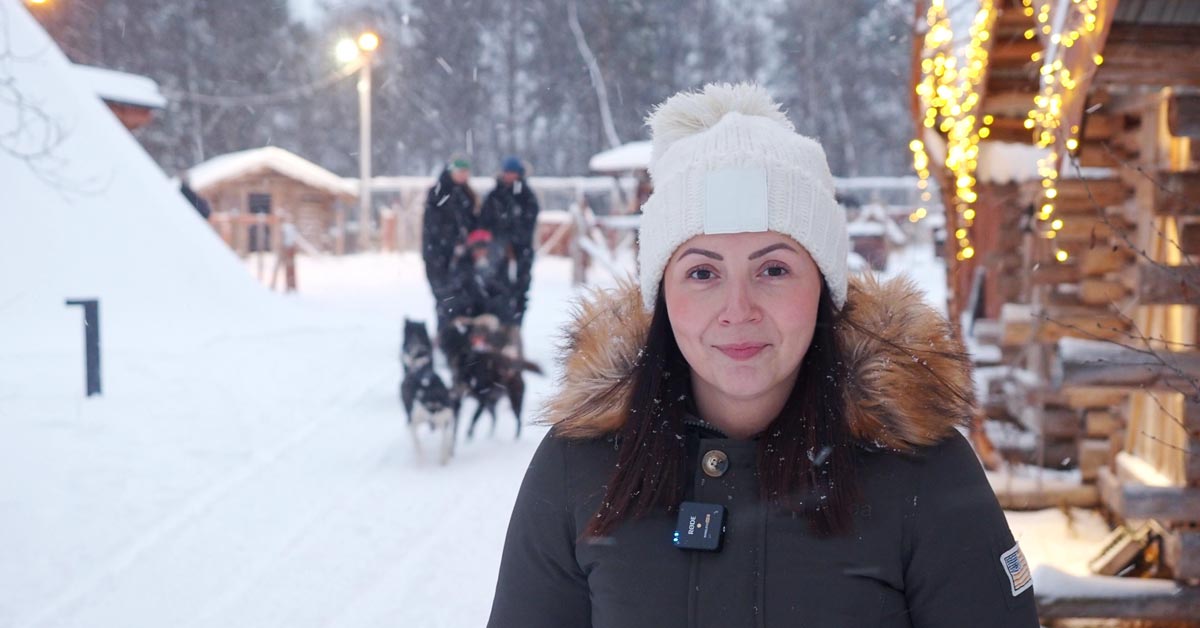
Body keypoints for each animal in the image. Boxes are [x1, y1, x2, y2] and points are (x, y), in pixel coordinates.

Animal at [403, 321, 458, 463]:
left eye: (437, 408)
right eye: (428, 407)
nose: (432, 425)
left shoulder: (445, 420)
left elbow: (445, 442)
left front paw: (444, 459)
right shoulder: (413, 421)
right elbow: (417, 445)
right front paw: (421, 461)